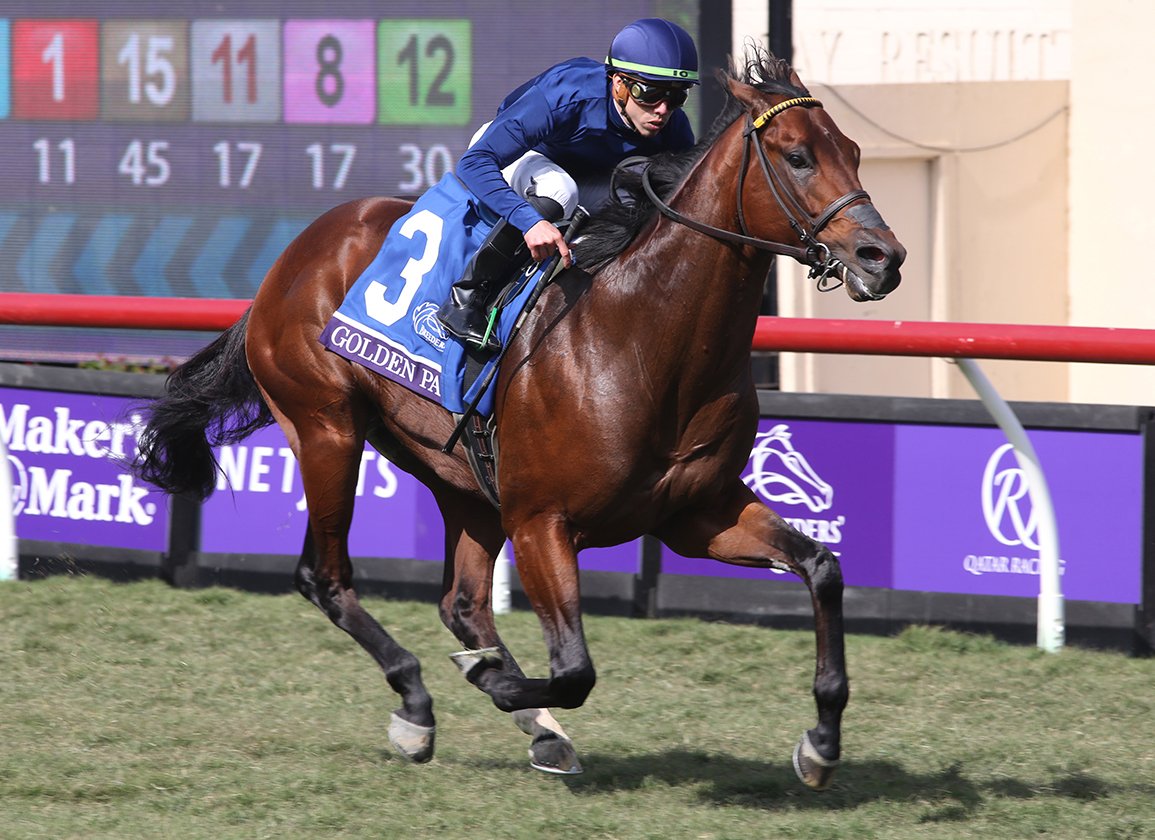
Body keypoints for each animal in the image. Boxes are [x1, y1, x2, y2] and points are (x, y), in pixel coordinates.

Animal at [134, 51, 905, 788]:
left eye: (853, 151)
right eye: (797, 155)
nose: (884, 258)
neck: (643, 339)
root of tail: (297, 252)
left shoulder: (697, 512)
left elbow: (822, 568)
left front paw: (821, 742)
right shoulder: (542, 521)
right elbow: (575, 670)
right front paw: (496, 681)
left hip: (460, 477)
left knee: (462, 602)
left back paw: (529, 722)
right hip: (326, 429)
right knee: (325, 576)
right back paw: (419, 704)